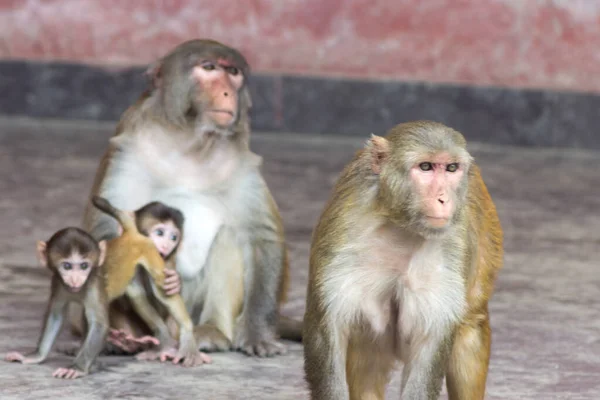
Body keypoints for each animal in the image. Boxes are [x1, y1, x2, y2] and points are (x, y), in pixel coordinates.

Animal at [5, 227, 109, 380]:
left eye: (84, 266)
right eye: (67, 266)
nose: (75, 280)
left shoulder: (93, 285)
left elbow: (99, 324)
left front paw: (77, 368)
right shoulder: (57, 282)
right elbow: (55, 315)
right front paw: (36, 356)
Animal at [89, 194, 211, 366]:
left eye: (173, 237)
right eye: (160, 233)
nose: (166, 245)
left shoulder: (165, 261)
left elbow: (163, 294)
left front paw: (186, 338)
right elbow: (137, 294)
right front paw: (164, 343)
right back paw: (128, 343)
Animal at [302, 121, 504, 400]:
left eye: (451, 168)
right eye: (426, 167)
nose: (444, 198)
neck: (401, 224)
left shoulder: (452, 242)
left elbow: (431, 344)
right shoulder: (343, 228)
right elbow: (327, 330)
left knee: (469, 327)